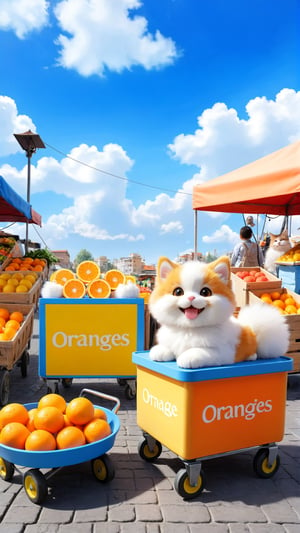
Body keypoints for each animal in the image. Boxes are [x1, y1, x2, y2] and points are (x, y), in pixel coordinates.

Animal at [149, 256, 290, 368]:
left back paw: (251, 356)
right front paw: (160, 351)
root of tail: (251, 329)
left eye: (205, 292)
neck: (189, 329)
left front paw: (188, 357)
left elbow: (200, 352)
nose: (191, 298)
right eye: (178, 292)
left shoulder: (223, 353)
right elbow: (167, 347)